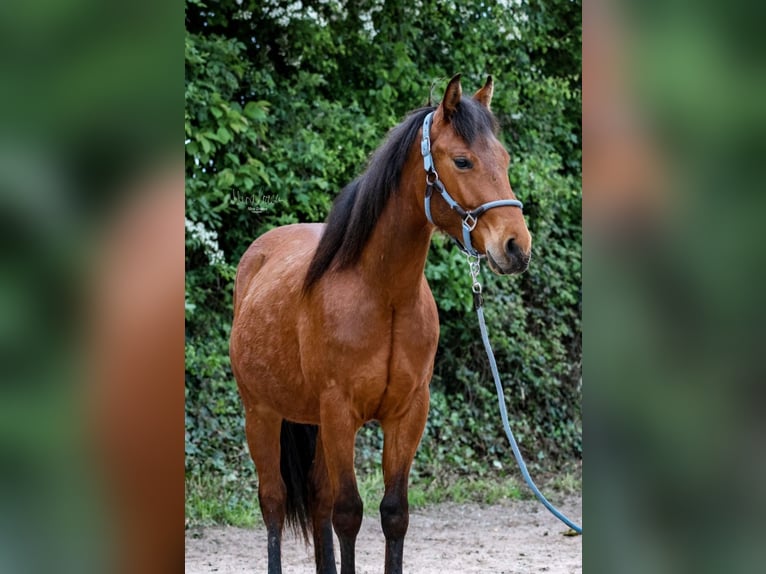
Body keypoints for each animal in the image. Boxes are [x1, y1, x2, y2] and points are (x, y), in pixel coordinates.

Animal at [232, 74, 536, 572]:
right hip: (261, 413)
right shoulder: (340, 413)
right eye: (462, 160)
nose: (516, 247)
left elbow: (393, 514)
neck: (383, 294)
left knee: (316, 497)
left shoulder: (407, 415)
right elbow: (348, 513)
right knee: (274, 502)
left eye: (506, 159)